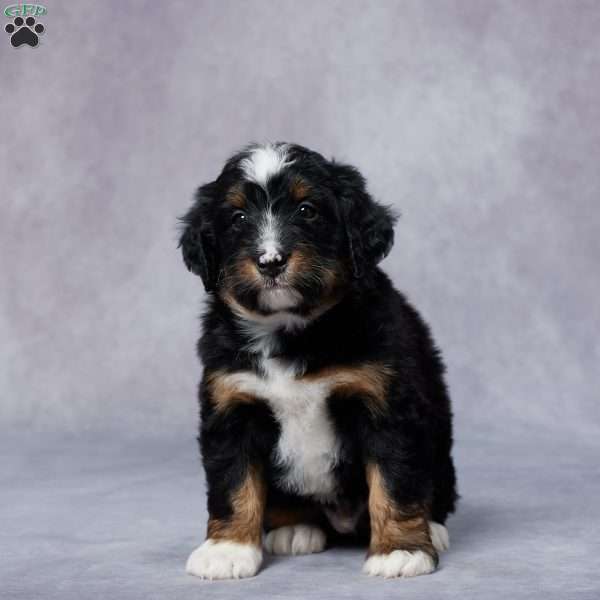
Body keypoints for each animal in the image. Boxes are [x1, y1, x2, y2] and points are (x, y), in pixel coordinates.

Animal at [180, 143, 458, 580]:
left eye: (307, 210)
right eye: (238, 218)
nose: (271, 261)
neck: (292, 331)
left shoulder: (386, 405)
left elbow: (394, 481)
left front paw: (400, 551)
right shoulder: (232, 405)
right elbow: (233, 483)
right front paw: (226, 550)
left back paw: (433, 528)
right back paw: (295, 527)